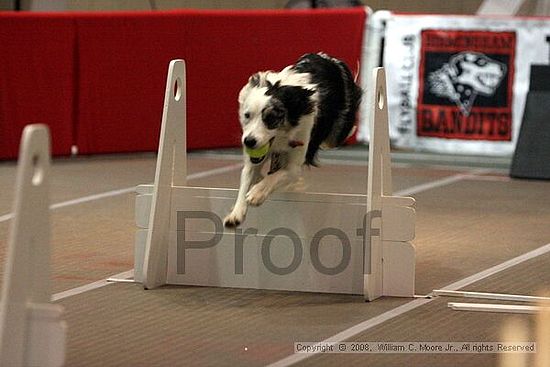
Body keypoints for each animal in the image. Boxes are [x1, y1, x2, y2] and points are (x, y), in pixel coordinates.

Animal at [223, 53, 362, 229]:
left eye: (271, 118)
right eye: (247, 115)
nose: (248, 142)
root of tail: (330, 58)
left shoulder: (295, 163)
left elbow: (276, 175)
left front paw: (257, 192)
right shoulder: (253, 158)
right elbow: (246, 178)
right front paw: (236, 213)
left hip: (337, 131)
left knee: (338, 136)